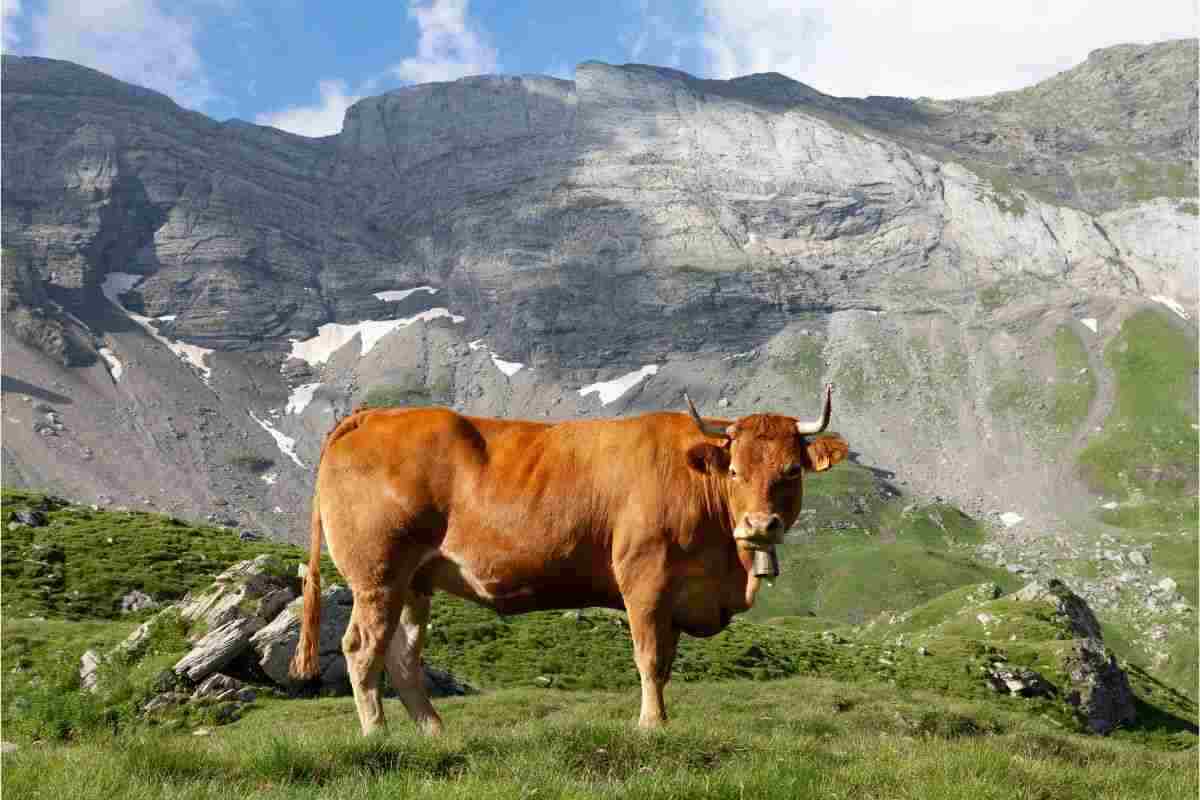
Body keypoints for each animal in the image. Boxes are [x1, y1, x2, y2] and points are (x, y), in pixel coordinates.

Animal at [290, 385, 848, 735]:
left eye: (791, 470)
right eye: (734, 470)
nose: (759, 525)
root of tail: (374, 414)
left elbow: (666, 663)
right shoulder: (645, 579)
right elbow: (651, 659)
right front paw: (651, 725)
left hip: (415, 581)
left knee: (403, 657)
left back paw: (434, 732)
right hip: (378, 574)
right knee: (362, 648)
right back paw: (377, 733)